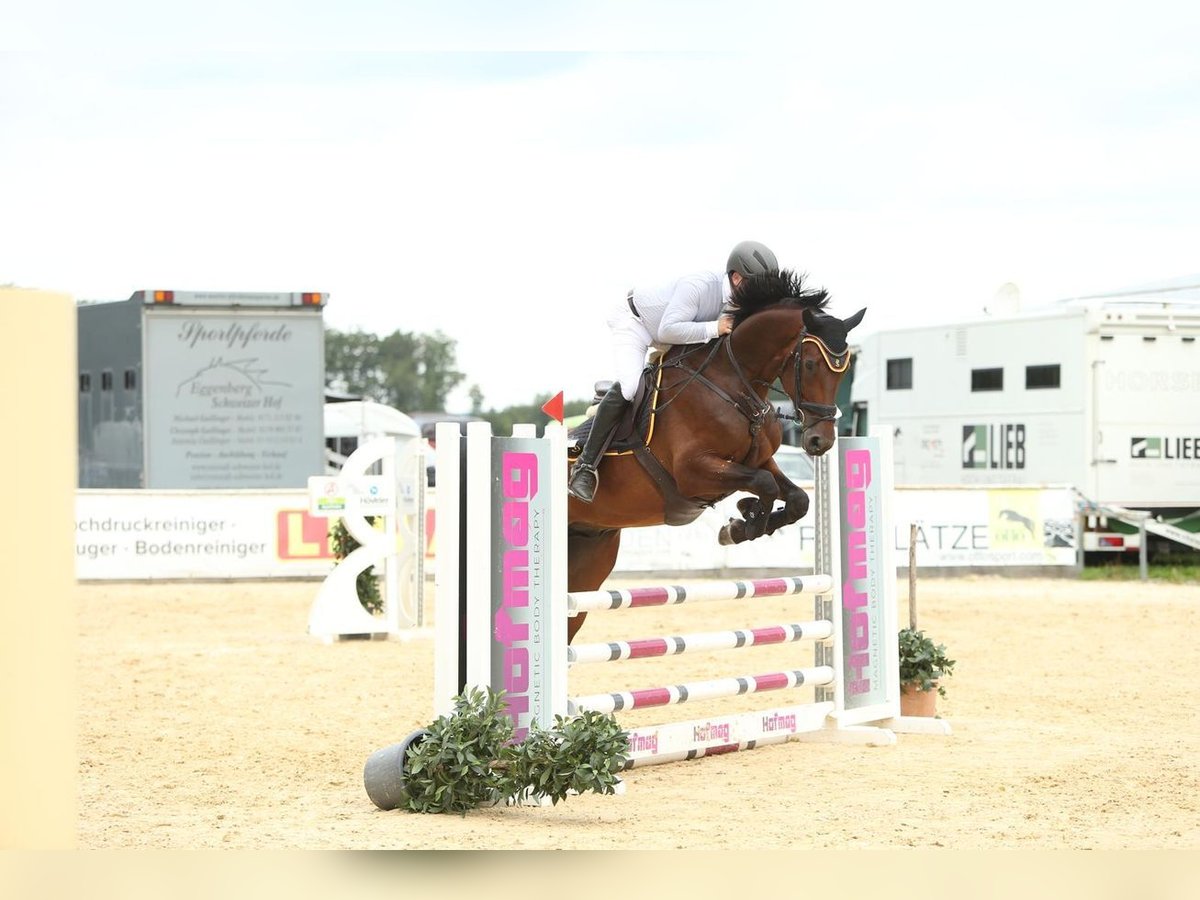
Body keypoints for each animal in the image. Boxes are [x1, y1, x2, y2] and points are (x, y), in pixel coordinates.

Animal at [564, 271, 864, 643]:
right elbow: (765, 485)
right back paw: (582, 480)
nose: (819, 441)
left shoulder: (757, 462)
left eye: (844, 370)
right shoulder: (693, 472)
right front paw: (746, 522)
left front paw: (741, 523)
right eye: (809, 364)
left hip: (590, 554)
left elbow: (796, 498)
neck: (733, 383)